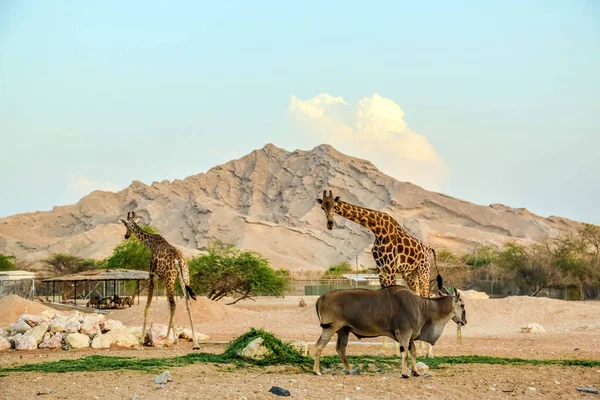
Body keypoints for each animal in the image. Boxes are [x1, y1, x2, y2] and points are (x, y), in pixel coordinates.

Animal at [120, 211, 200, 348]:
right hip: (183, 278)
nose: (126, 236)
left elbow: (147, 307)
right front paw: (176, 341)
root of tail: (179, 261)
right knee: (186, 303)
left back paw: (165, 343)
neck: (151, 244)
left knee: (174, 304)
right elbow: (167, 305)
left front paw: (141, 343)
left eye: (126, 226)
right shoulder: (162, 279)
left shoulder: (152, 276)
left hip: (171, 278)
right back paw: (195, 343)